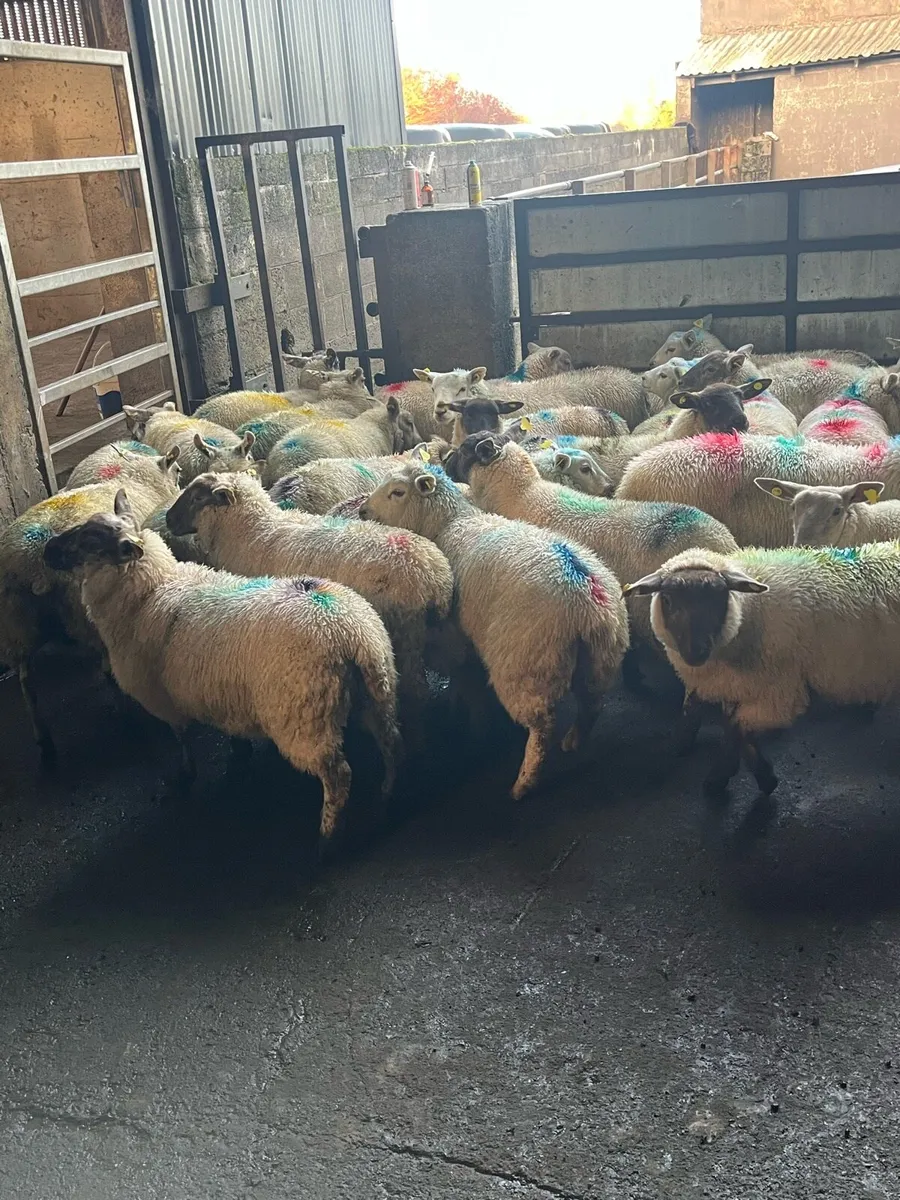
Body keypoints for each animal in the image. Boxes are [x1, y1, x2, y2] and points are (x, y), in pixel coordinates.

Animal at [0, 466, 181, 760]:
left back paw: (44, 741)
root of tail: (36, 568)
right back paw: (127, 722)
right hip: (84, 624)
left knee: (27, 683)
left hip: (17, 631)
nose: (52, 550)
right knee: (107, 673)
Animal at [44, 493, 399, 850]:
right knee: (391, 740)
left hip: (304, 719)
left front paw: (185, 776)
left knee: (338, 776)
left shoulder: (164, 697)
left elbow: (182, 737)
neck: (151, 590)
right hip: (377, 693)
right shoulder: (220, 691)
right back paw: (387, 799)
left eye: (89, 540)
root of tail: (350, 633)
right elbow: (230, 731)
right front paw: (238, 758)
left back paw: (327, 838)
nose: (48, 549)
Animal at [357, 462, 629, 798]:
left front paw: (466, 711)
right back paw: (574, 740)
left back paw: (524, 782)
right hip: (601, 656)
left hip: (526, 662)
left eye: (397, 492)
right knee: (592, 701)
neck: (451, 523)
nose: (363, 511)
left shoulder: (454, 635)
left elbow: (463, 674)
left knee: (541, 727)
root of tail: (588, 598)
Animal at [623, 543, 900, 793]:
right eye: (668, 600)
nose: (696, 652)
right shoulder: (732, 684)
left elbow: (735, 726)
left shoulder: (780, 694)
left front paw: (726, 777)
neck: (750, 615)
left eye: (718, 598)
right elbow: (715, 718)